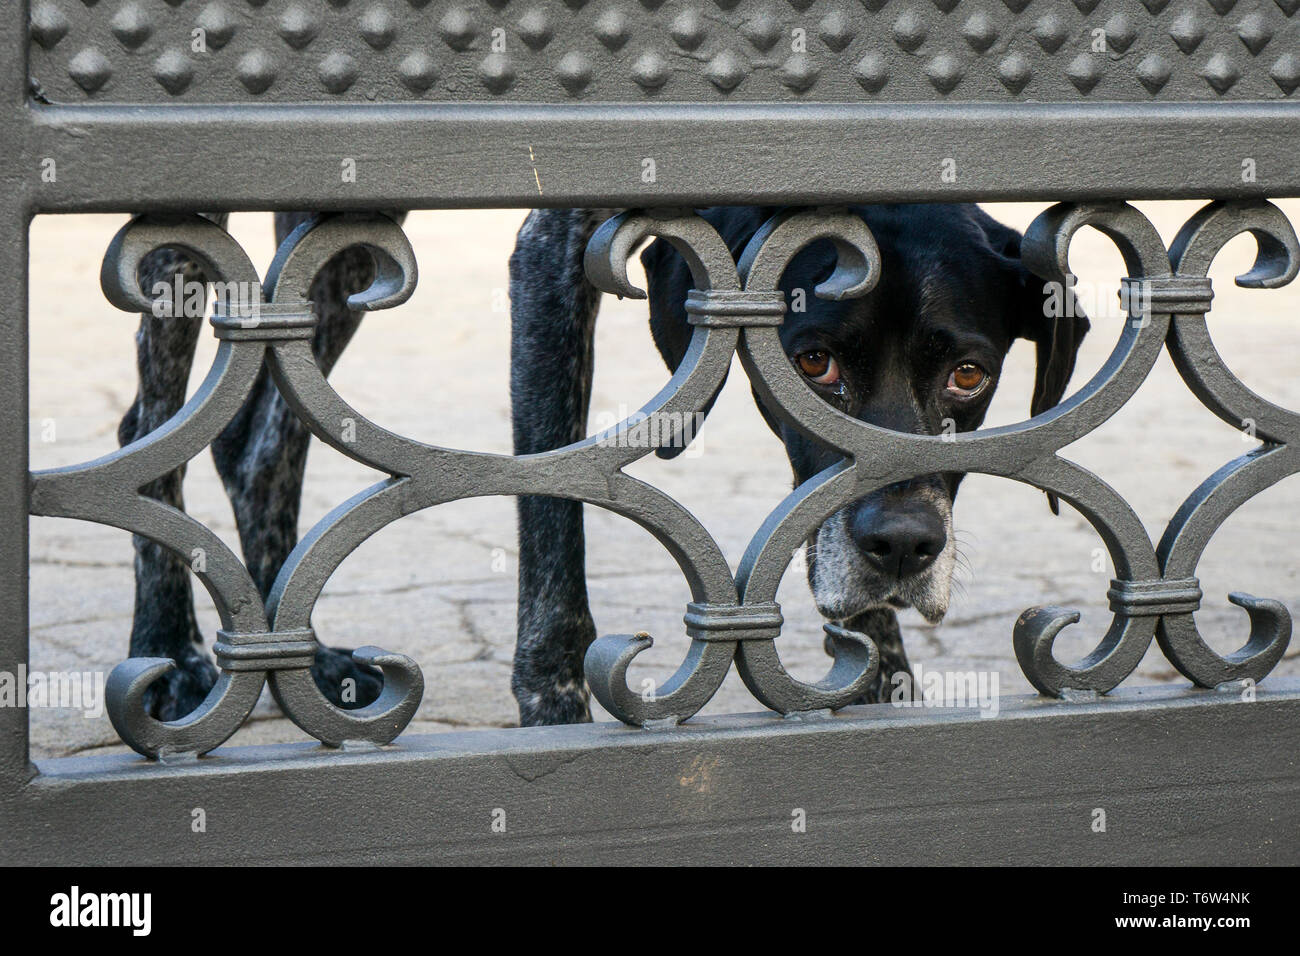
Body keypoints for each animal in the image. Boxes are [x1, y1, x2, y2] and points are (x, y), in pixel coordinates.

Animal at [506, 204, 1086, 723]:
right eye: (814, 363)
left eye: (967, 375)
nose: (904, 545)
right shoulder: (551, 247)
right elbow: (549, 506)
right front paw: (555, 710)